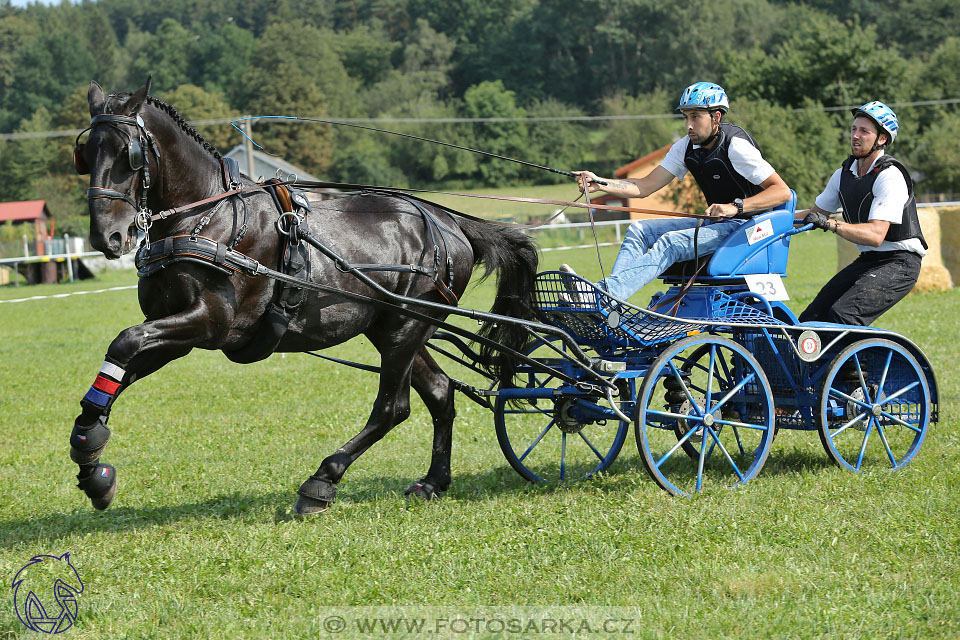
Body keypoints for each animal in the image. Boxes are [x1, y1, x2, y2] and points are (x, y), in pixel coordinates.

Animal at [73, 77, 540, 512]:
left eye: (129, 154)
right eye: (85, 155)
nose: (106, 236)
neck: (209, 217)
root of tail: (451, 223)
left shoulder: (208, 323)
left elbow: (125, 341)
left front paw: (89, 452)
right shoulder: (174, 333)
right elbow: (119, 369)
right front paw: (91, 459)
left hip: (407, 324)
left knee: (393, 407)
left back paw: (322, 480)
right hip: (393, 326)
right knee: (440, 392)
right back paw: (433, 481)